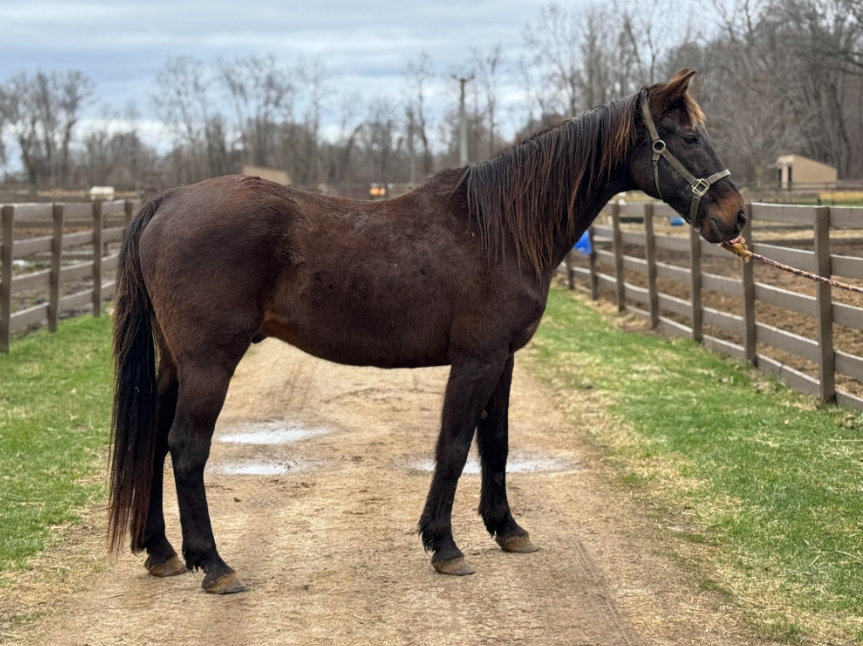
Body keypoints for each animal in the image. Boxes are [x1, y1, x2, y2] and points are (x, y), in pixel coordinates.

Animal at [109, 69, 745, 594]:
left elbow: (496, 442)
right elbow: (455, 446)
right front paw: (445, 546)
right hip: (211, 362)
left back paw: (161, 552)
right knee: (186, 448)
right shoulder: (476, 359)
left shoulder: (503, 359)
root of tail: (167, 201)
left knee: (154, 441)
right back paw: (214, 565)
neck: (499, 229)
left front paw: (507, 529)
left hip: (178, 363)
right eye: (687, 138)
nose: (736, 216)